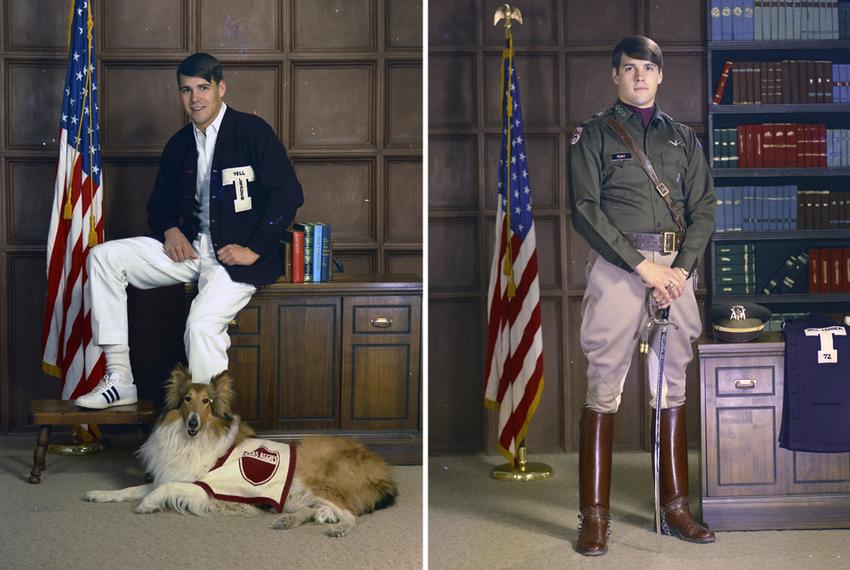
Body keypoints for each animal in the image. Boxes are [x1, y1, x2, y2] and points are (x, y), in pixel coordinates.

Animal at [84, 364, 396, 532]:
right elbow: (131, 489)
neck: (191, 440)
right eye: (186, 399)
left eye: (207, 402)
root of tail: (382, 469)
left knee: (349, 514)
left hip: (318, 483)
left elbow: (162, 490)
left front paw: (147, 505)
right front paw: (100, 494)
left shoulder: (201, 489)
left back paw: (339, 528)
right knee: (315, 511)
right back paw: (291, 521)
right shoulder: (172, 475)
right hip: (295, 496)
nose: (193, 423)